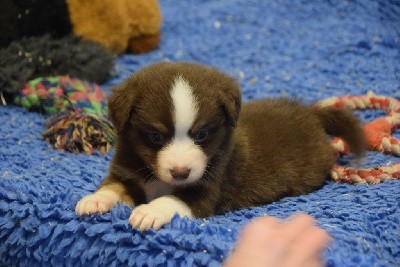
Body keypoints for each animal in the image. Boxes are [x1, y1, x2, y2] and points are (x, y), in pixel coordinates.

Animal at [75, 61, 366, 231]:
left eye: (202, 134)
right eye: (155, 137)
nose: (181, 173)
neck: (155, 177)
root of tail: (311, 112)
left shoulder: (205, 190)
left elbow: (171, 199)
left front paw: (149, 212)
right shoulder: (127, 171)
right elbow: (113, 187)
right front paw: (94, 200)